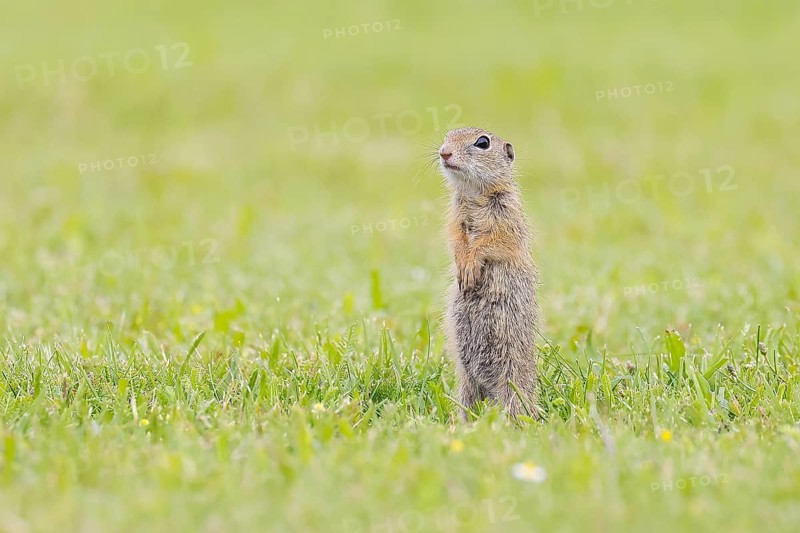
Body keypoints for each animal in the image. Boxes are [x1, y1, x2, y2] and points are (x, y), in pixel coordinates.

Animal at [438, 127, 541, 420]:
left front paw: (472, 265)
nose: (444, 153)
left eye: (482, 143)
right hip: (466, 381)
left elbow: (493, 242)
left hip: (512, 374)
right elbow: (456, 237)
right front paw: (463, 265)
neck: (474, 193)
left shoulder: (506, 214)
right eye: (447, 136)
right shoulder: (456, 215)